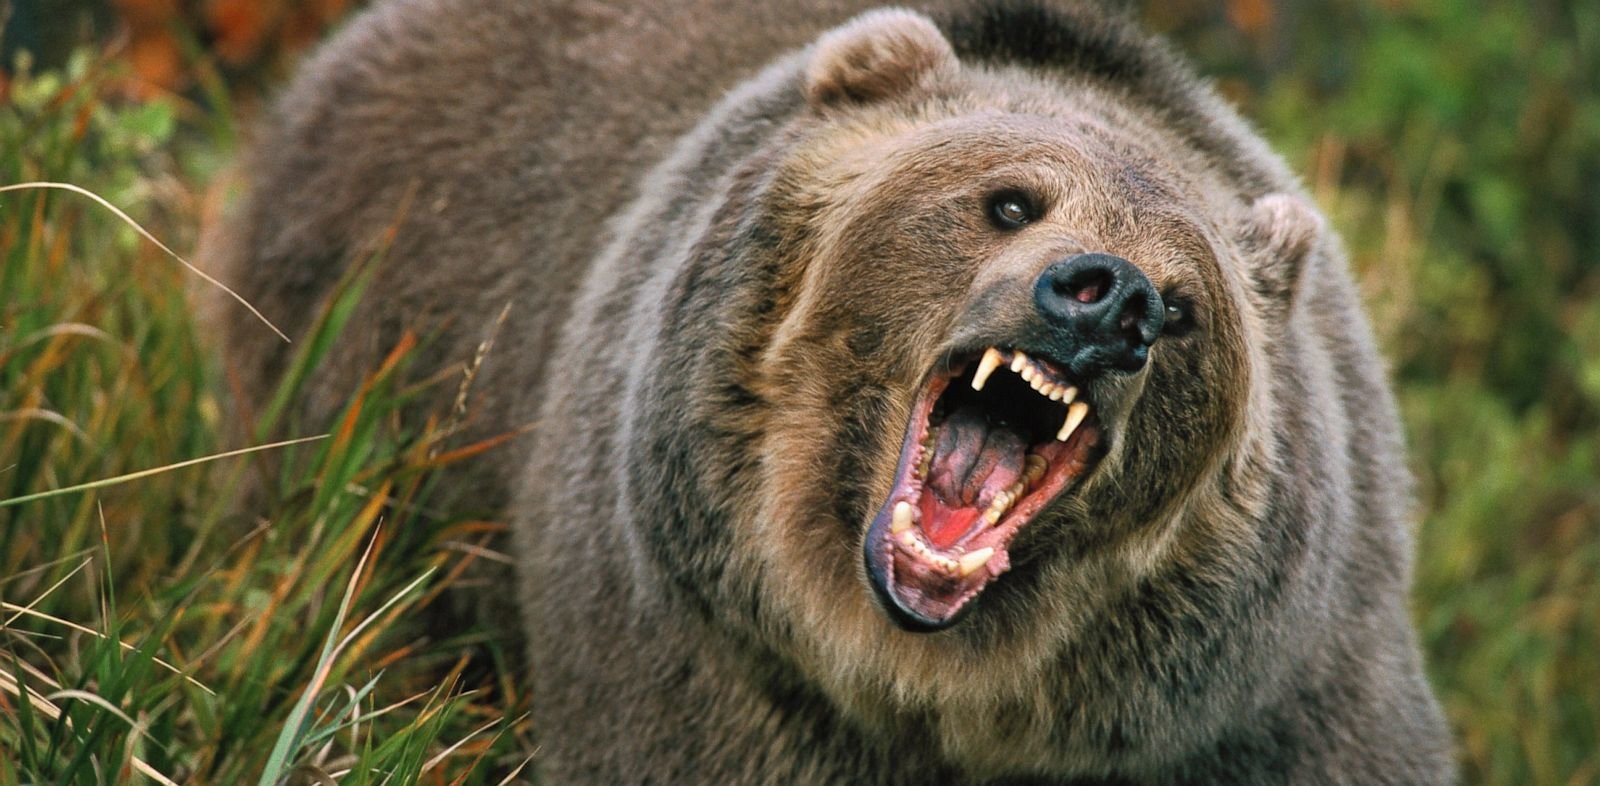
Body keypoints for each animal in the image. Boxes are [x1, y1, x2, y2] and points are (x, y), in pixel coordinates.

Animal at [205, 0, 1457, 782]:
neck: (933, 682)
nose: (1111, 302)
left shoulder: (1263, 701)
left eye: (1189, 308)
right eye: (1009, 199)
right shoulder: (704, 655)